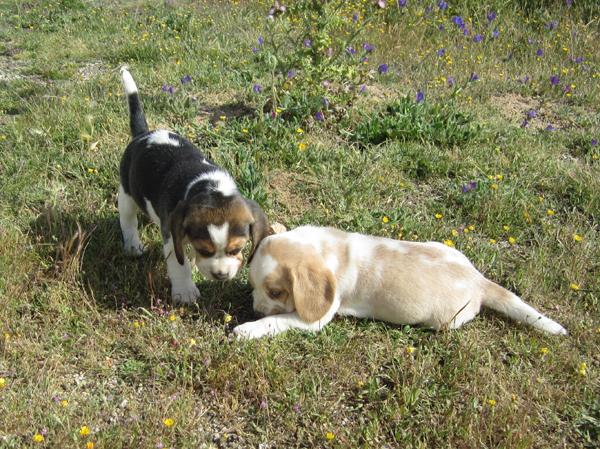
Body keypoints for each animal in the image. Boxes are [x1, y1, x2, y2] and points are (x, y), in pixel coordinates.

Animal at [118, 66, 270, 302]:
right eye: (205, 250)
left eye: (236, 250)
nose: (221, 275)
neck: (209, 184)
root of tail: (143, 134)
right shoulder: (172, 234)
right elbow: (179, 264)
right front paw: (185, 291)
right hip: (125, 193)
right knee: (128, 221)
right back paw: (133, 245)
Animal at [233, 226, 568, 338]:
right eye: (252, 286)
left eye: (276, 292)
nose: (255, 310)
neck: (323, 248)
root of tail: (479, 280)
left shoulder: (315, 319)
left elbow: (278, 321)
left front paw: (247, 329)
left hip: (445, 320)